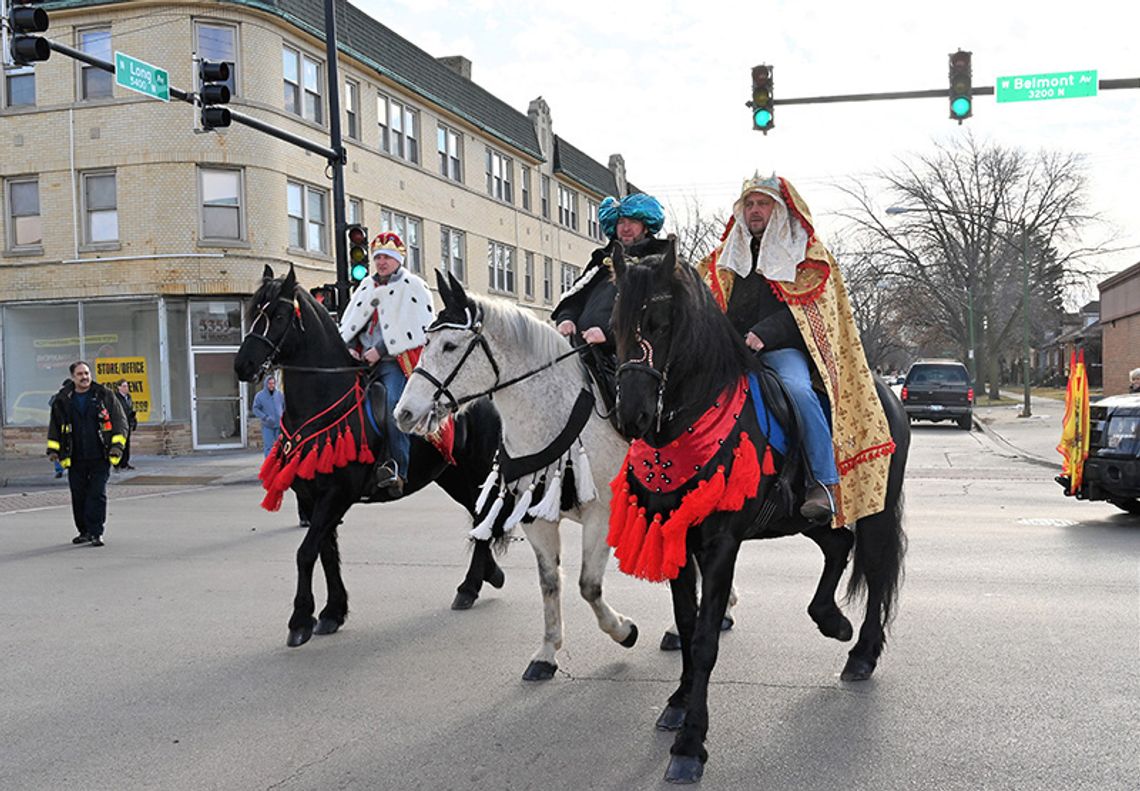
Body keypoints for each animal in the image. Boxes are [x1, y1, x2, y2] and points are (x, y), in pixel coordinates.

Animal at [234, 266, 503, 651]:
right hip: (451, 475)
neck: (324, 400)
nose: (243, 365)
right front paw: (332, 612)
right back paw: (486, 577)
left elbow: (306, 552)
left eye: (280, 316)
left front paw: (300, 619)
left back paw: (469, 587)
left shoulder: (336, 494)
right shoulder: (313, 494)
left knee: (484, 516)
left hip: (478, 469)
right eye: (253, 311)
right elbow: (326, 552)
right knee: (479, 516)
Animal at [396, 274, 638, 683]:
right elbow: (550, 583)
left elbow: (588, 586)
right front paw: (547, 653)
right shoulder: (536, 518)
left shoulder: (601, 513)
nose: (404, 413)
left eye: (449, 345)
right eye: (425, 343)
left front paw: (624, 630)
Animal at [611, 245, 902, 784]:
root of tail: (887, 392)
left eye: (662, 323)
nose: (631, 416)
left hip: (876, 507)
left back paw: (862, 653)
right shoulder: (676, 537)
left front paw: (690, 745)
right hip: (802, 517)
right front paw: (678, 702)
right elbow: (687, 626)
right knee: (839, 545)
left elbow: (706, 638)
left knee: (874, 570)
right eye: (616, 323)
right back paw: (831, 621)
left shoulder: (721, 545)